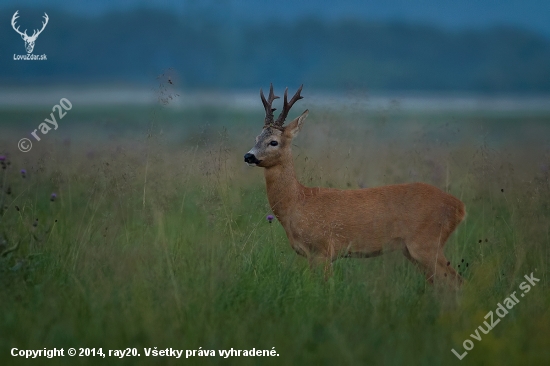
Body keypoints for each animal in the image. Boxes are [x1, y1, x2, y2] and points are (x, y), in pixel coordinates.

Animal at [246, 84, 466, 284]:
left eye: (273, 142)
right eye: (256, 138)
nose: (248, 156)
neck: (298, 201)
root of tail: (459, 207)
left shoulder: (322, 249)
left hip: (426, 243)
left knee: (456, 282)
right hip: (413, 250)